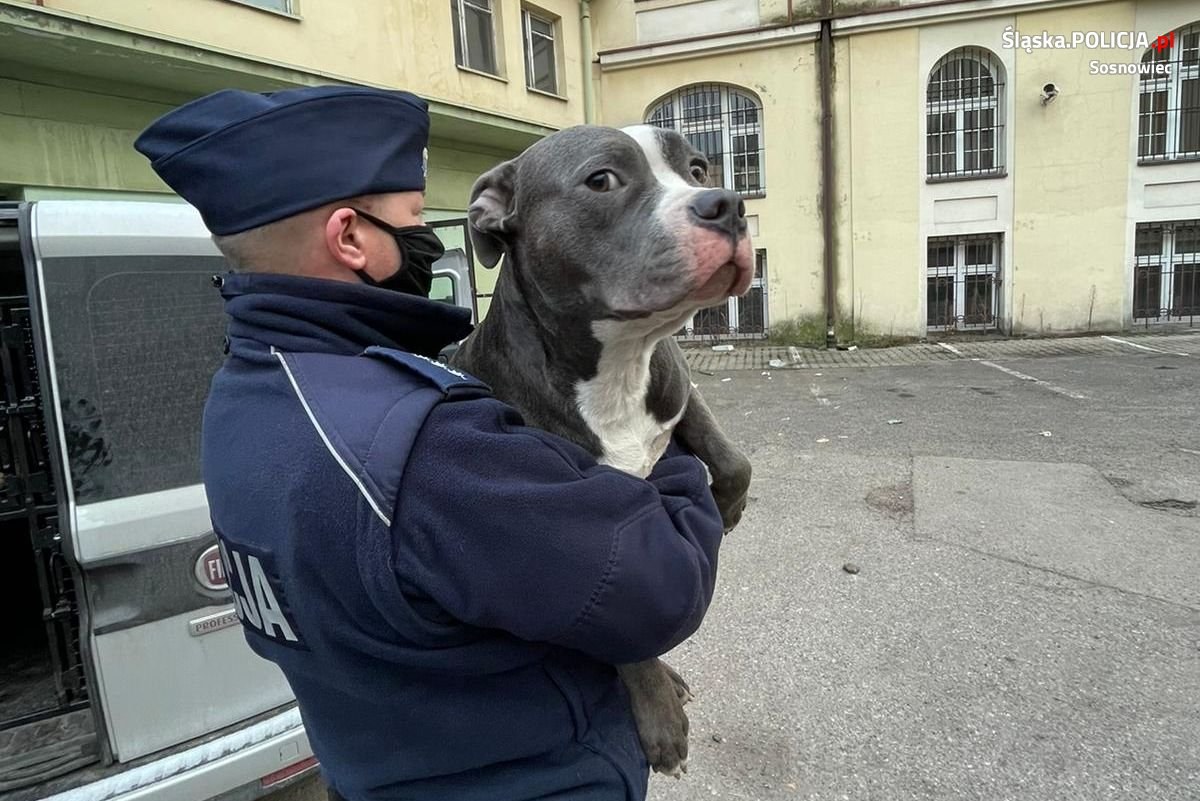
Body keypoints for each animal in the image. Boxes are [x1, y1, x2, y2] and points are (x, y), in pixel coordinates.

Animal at [453, 123, 753, 777]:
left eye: (697, 168)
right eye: (601, 180)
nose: (728, 203)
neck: (618, 365)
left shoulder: (677, 394)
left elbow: (732, 459)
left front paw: (727, 509)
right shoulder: (599, 540)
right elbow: (627, 627)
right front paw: (661, 724)